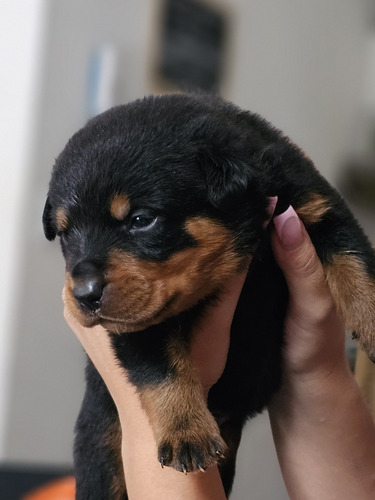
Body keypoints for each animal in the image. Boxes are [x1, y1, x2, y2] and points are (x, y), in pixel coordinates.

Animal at [42, 93, 375, 496]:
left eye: (141, 220)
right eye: (65, 233)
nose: (84, 294)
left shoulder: (315, 204)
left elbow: (355, 263)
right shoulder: (134, 324)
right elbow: (160, 367)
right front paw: (187, 430)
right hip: (101, 447)